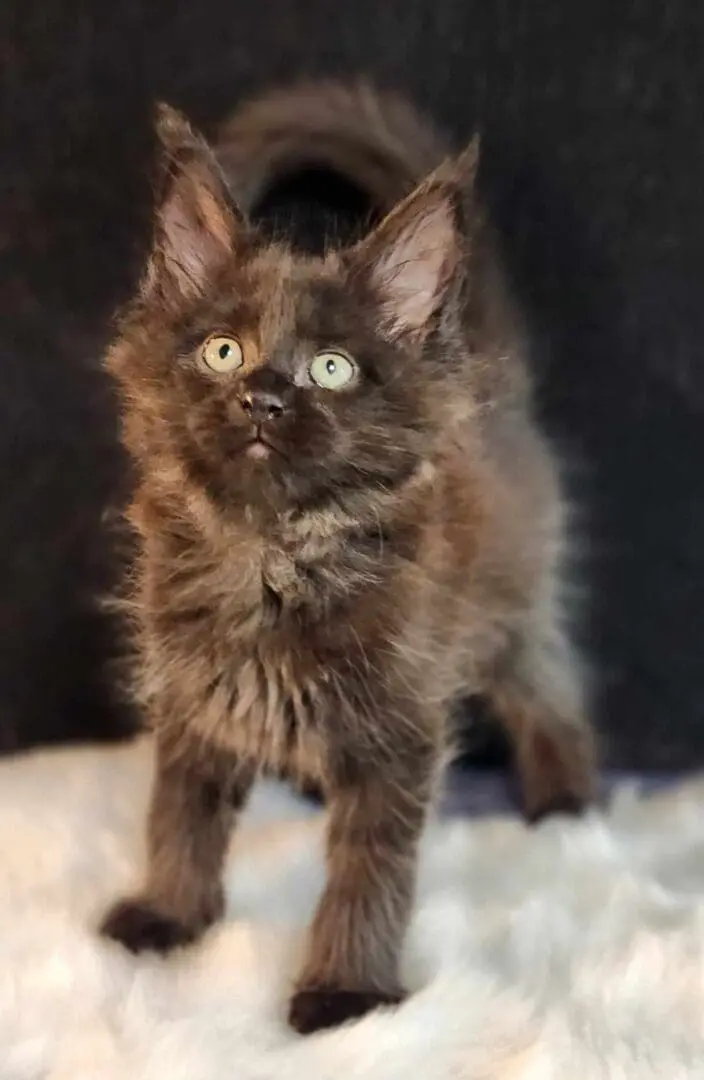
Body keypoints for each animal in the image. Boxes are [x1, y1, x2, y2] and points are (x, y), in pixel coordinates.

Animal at [98, 82, 596, 1028]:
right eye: (224, 350)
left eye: (331, 368)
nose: (262, 398)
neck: (275, 553)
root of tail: (492, 378)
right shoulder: (191, 697)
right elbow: (179, 813)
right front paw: (172, 916)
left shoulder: (400, 731)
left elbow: (368, 870)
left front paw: (343, 991)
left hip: (513, 608)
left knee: (549, 690)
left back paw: (567, 803)